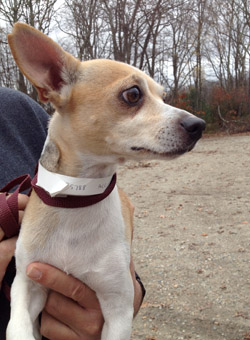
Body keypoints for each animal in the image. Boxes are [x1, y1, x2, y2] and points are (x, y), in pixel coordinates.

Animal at [5, 23, 205, 340]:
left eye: (163, 96)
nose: (198, 125)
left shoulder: (117, 307)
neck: (77, 200)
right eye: (133, 94)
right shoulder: (27, 285)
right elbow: (19, 327)